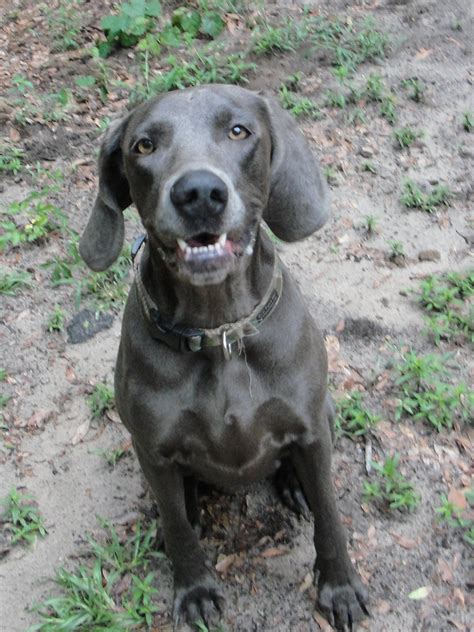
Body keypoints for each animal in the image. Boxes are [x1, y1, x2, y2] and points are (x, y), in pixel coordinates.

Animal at [80, 85, 370, 632]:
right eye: (144, 145)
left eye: (238, 130)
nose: (198, 192)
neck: (219, 332)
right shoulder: (153, 449)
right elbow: (179, 530)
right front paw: (194, 588)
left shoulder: (311, 429)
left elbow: (330, 516)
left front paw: (339, 586)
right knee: (179, 504)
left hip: (325, 412)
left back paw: (293, 485)